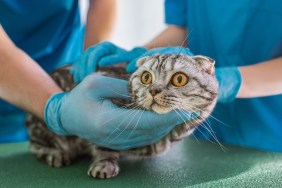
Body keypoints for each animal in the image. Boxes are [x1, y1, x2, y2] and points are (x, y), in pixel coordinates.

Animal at [25, 53, 218, 179]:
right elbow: (104, 145)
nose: (153, 90)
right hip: (43, 128)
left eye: (179, 79)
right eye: (146, 77)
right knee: (35, 145)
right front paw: (104, 164)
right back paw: (55, 154)